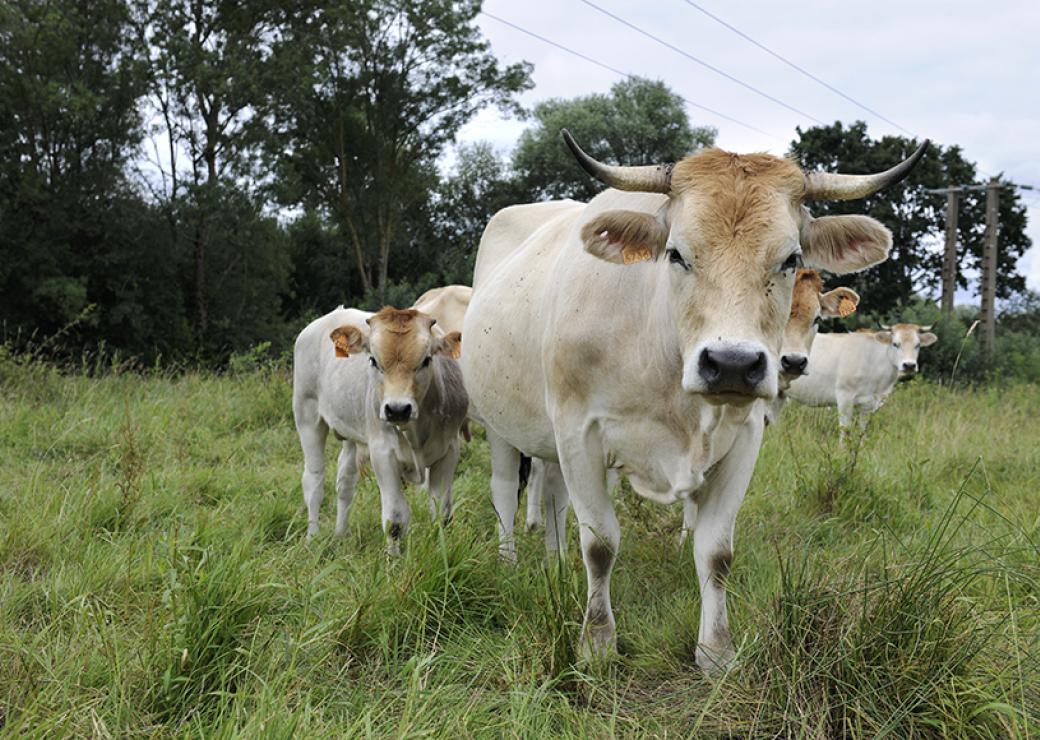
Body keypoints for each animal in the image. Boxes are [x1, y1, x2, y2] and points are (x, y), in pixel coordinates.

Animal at [295, 303, 470, 552]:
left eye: (427, 360)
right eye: (373, 360)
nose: (397, 409)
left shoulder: (449, 450)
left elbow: (441, 515)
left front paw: (442, 553)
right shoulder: (382, 453)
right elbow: (395, 520)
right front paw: (393, 560)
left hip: (352, 433)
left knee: (345, 483)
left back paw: (340, 534)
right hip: (306, 414)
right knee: (313, 481)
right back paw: (312, 538)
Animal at [782, 320, 940, 430]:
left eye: (917, 345)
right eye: (895, 344)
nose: (909, 365)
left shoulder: (869, 404)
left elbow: (863, 430)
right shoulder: (844, 397)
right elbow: (845, 428)